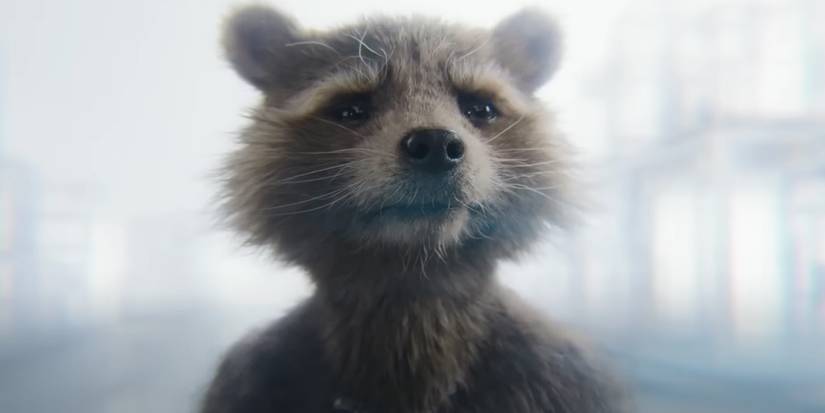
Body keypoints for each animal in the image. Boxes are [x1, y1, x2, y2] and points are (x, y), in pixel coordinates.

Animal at [201, 5, 626, 413]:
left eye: (480, 107)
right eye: (351, 108)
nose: (435, 144)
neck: (412, 277)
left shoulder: (563, 374)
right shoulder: (252, 378)